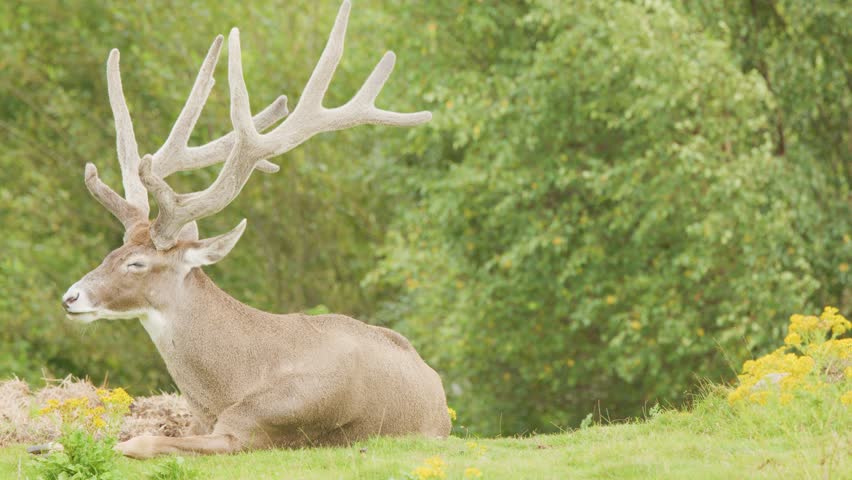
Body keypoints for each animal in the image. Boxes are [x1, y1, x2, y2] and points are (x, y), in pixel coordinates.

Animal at [59, 1, 450, 459]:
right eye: (111, 254)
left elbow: (142, 440)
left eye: (136, 263)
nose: (71, 297)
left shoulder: (253, 430)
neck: (232, 383)